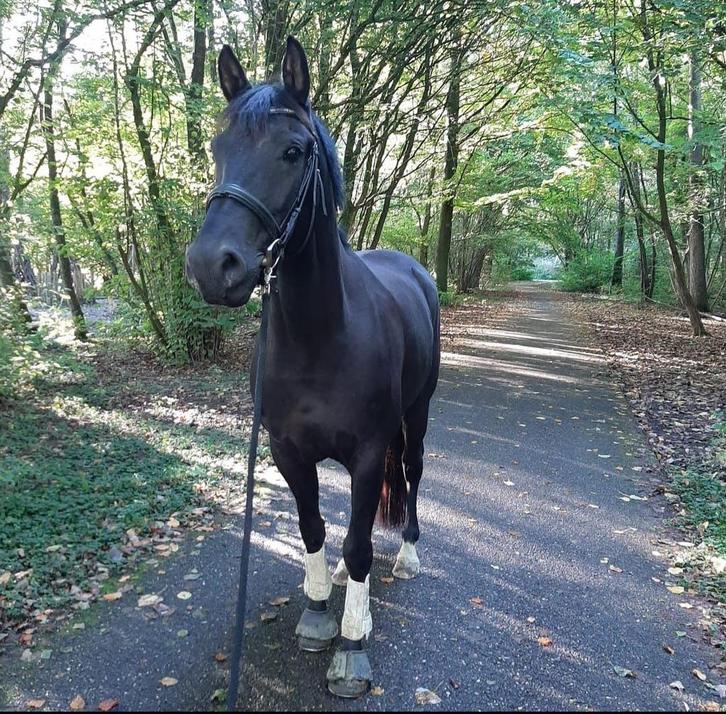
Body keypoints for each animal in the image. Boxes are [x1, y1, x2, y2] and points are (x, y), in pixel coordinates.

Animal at [185, 36, 440, 699]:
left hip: (418, 412)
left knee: (413, 473)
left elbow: (357, 545)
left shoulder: (370, 451)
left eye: (292, 151)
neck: (322, 337)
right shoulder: (287, 450)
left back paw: (406, 555)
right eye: (218, 148)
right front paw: (322, 612)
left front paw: (351, 646)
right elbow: (314, 530)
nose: (211, 265)